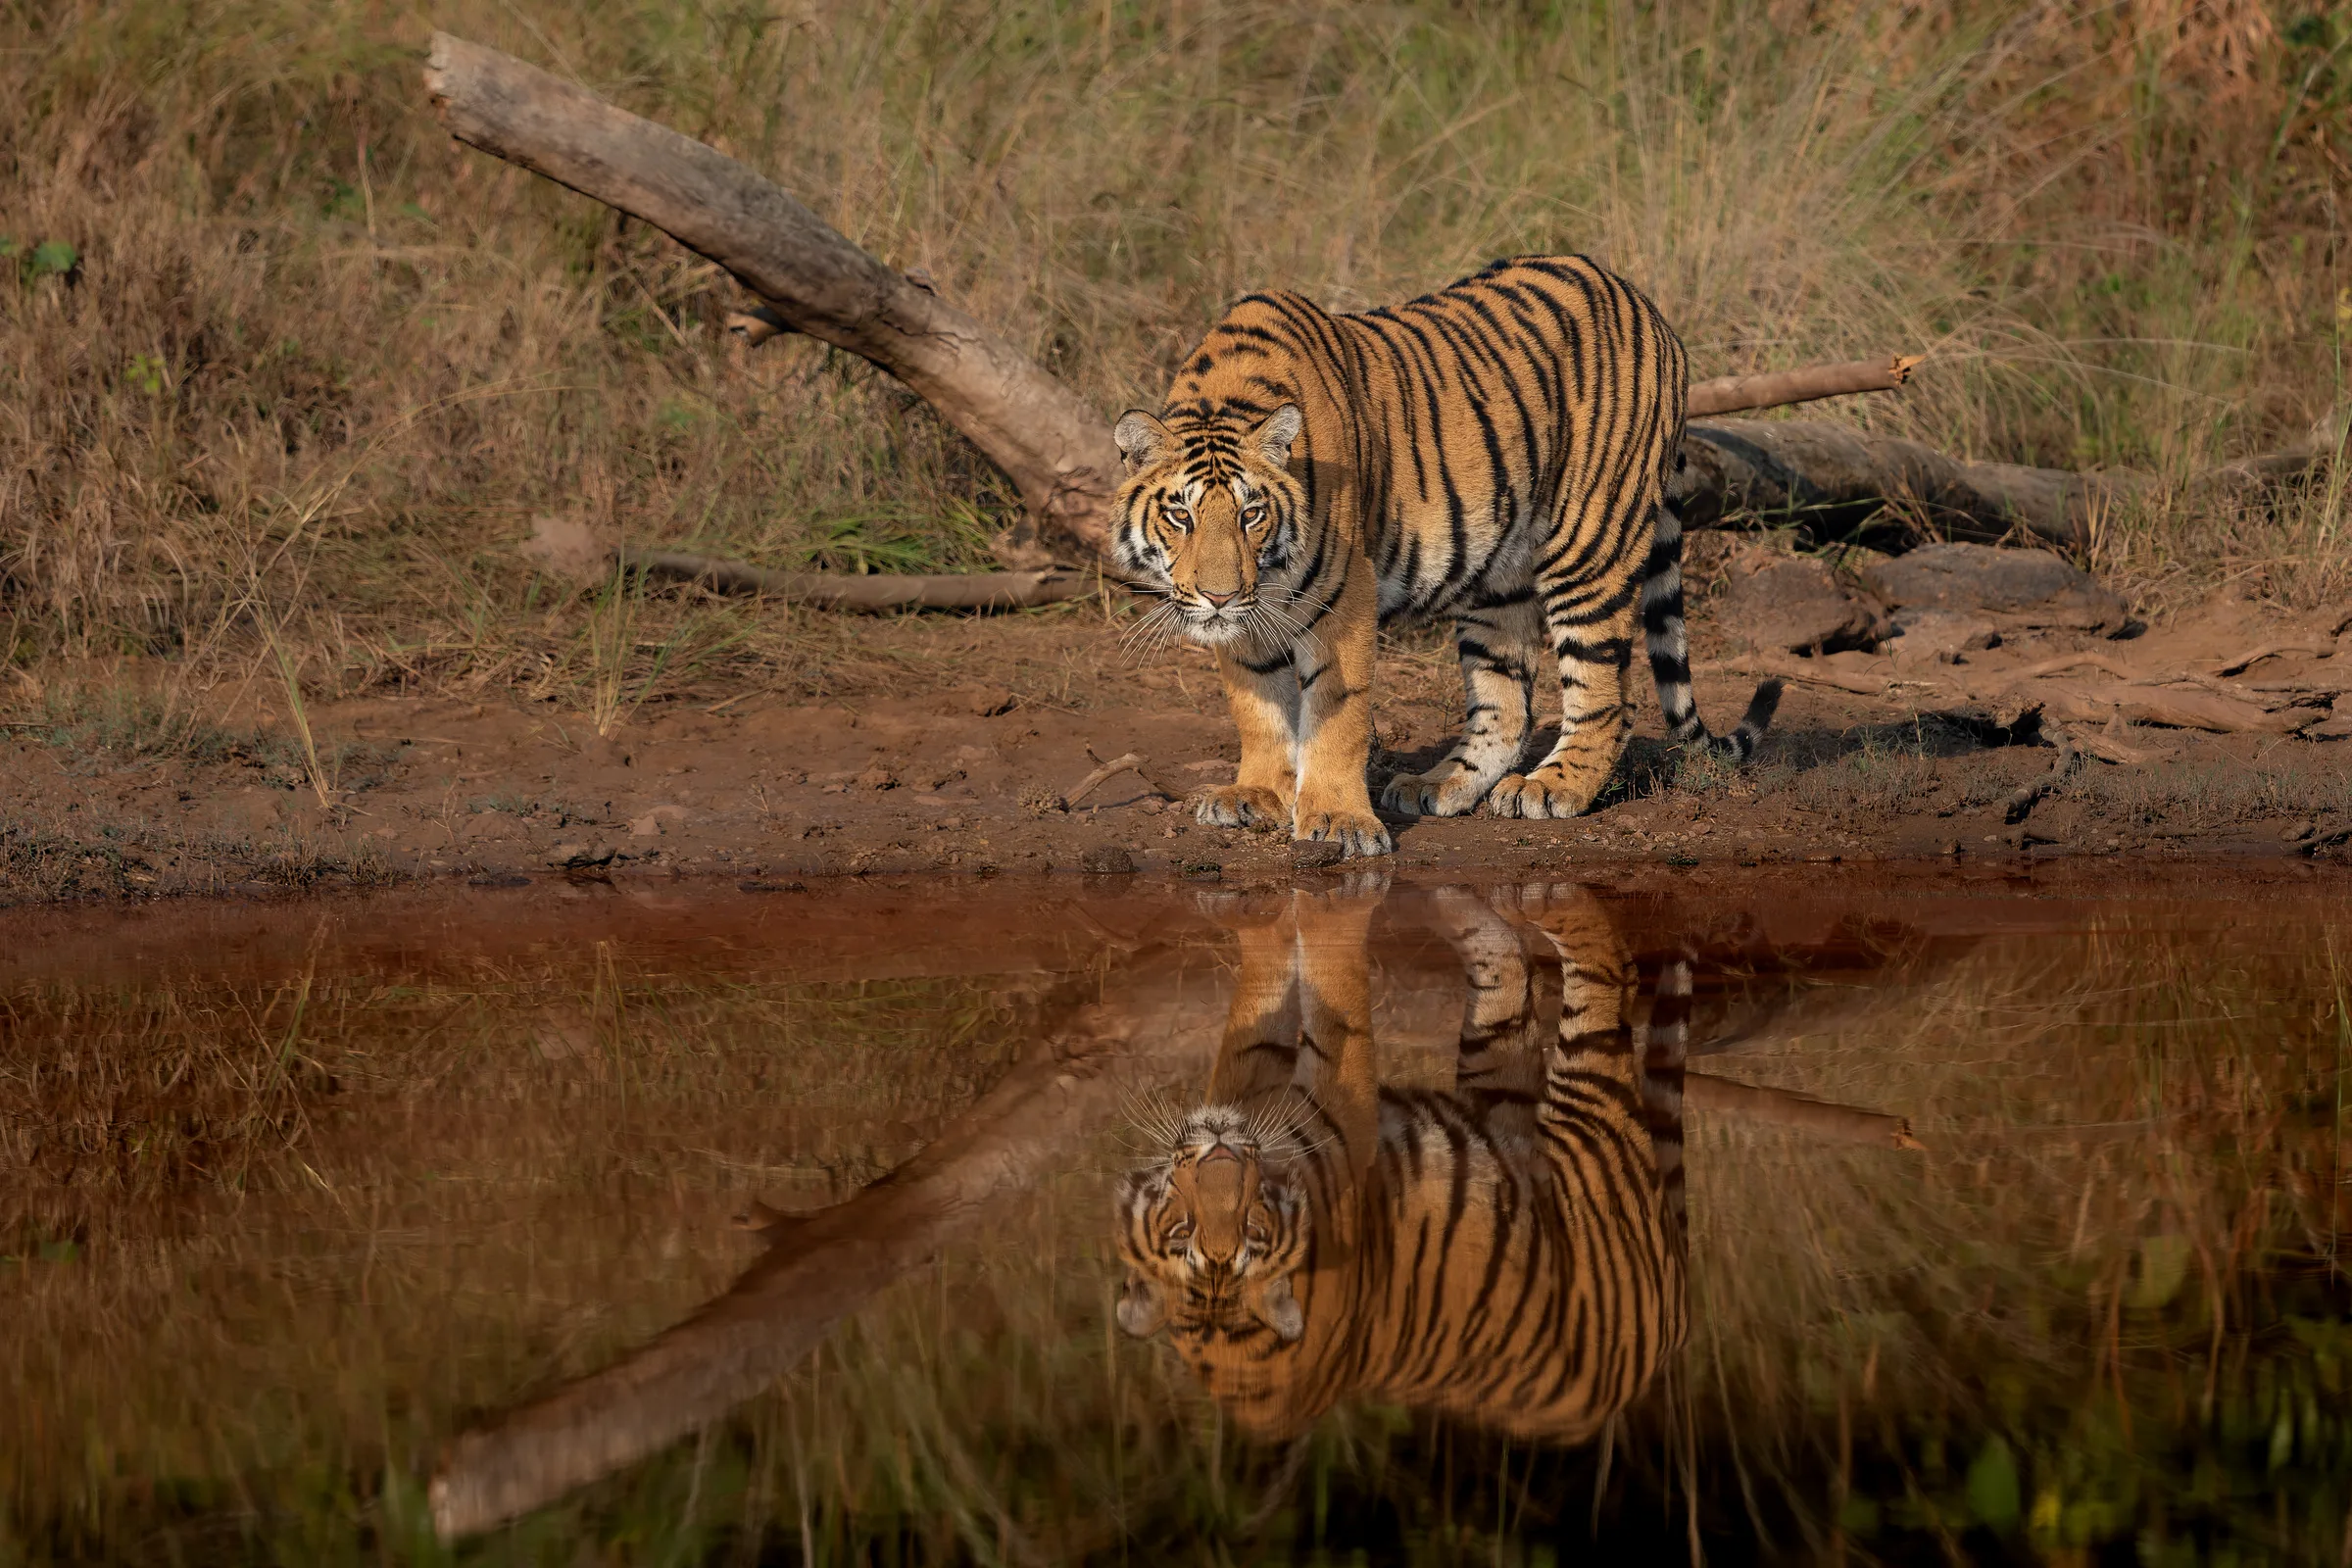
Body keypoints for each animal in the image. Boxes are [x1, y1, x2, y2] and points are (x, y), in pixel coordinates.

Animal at [1111, 254, 1781, 860]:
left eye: (1251, 515)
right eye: (1181, 516)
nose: (1220, 596)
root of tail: (1649, 307)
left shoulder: (1343, 597)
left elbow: (1334, 716)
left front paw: (1338, 821)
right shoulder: (1253, 620)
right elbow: (1258, 706)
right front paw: (1257, 796)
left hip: (1589, 543)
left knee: (1607, 693)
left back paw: (1552, 788)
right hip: (1499, 578)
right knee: (1505, 702)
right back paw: (1441, 785)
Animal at [1112, 882, 1689, 1442]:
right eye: (1184, 1231)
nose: (1219, 1150)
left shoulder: (1259, 1093)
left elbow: (1255, 1026)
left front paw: (1265, 914)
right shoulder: (1342, 1124)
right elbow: (1335, 993)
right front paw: (1328, 903)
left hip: (1499, 1092)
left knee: (1517, 977)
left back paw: (1454, 898)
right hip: (1587, 1126)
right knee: (1606, 980)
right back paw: (1539, 897)